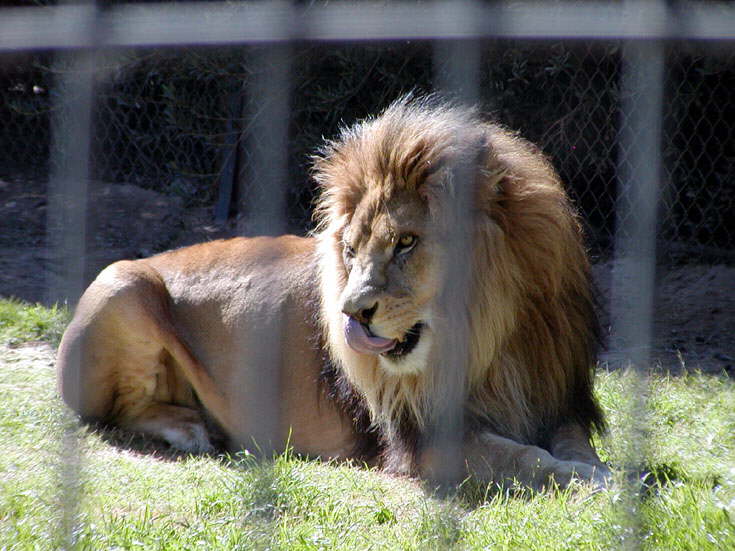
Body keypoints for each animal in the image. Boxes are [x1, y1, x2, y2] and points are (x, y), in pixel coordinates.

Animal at [57, 96, 610, 490]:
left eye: (406, 242)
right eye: (350, 249)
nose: (351, 314)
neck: (491, 338)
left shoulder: (557, 398)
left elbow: (572, 442)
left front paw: (596, 467)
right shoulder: (424, 439)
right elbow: (523, 456)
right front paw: (585, 478)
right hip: (122, 282)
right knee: (113, 411)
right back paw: (189, 429)